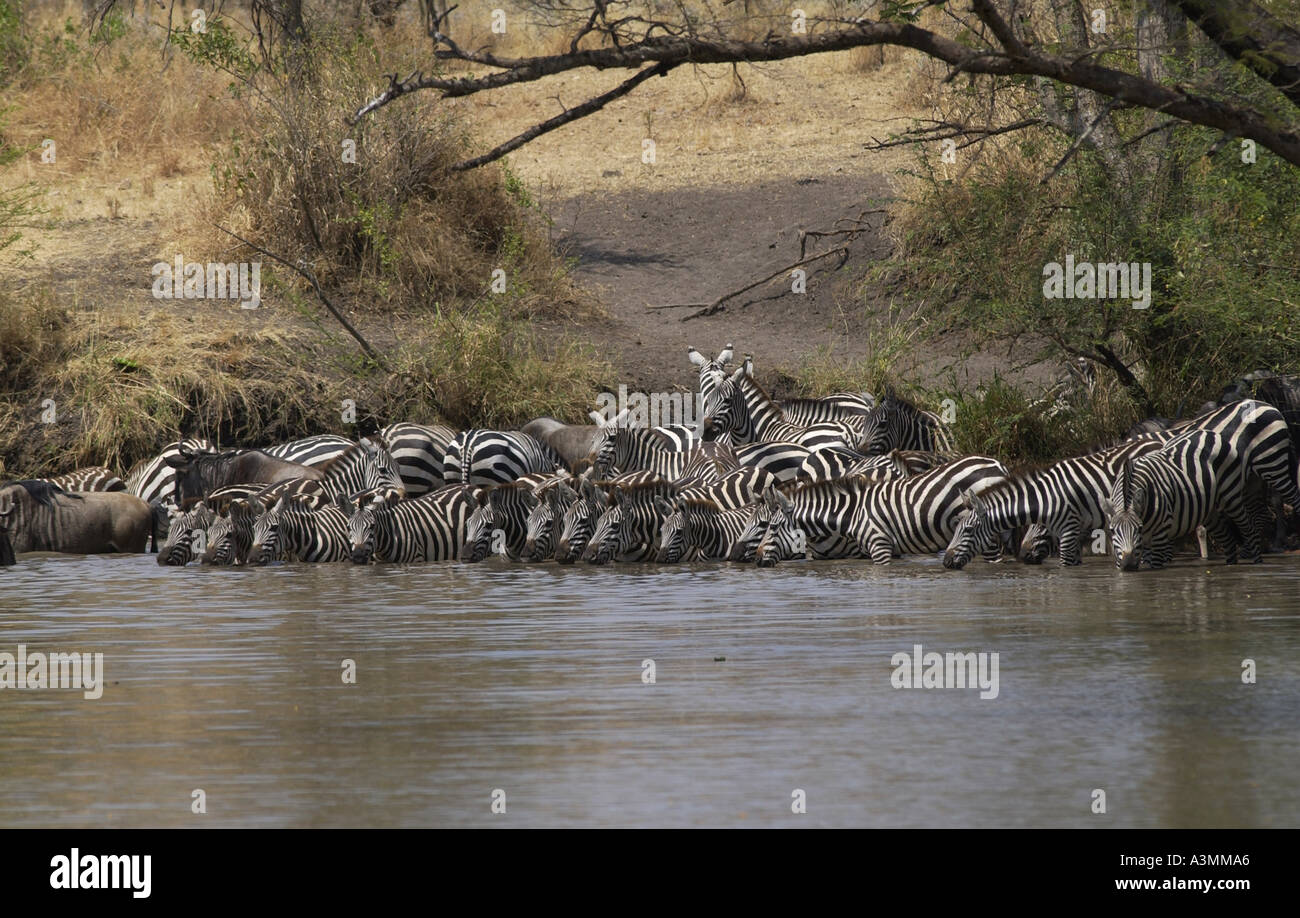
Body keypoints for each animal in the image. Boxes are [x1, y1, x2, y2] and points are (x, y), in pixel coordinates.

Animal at [1103, 429, 1254, 571]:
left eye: (1139, 528)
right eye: (1112, 530)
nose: (1128, 565)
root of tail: (1208, 432)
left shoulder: (1161, 532)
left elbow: (1156, 566)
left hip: (1231, 496)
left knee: (1247, 527)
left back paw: (1254, 560)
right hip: (1209, 511)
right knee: (1227, 538)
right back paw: (1231, 564)